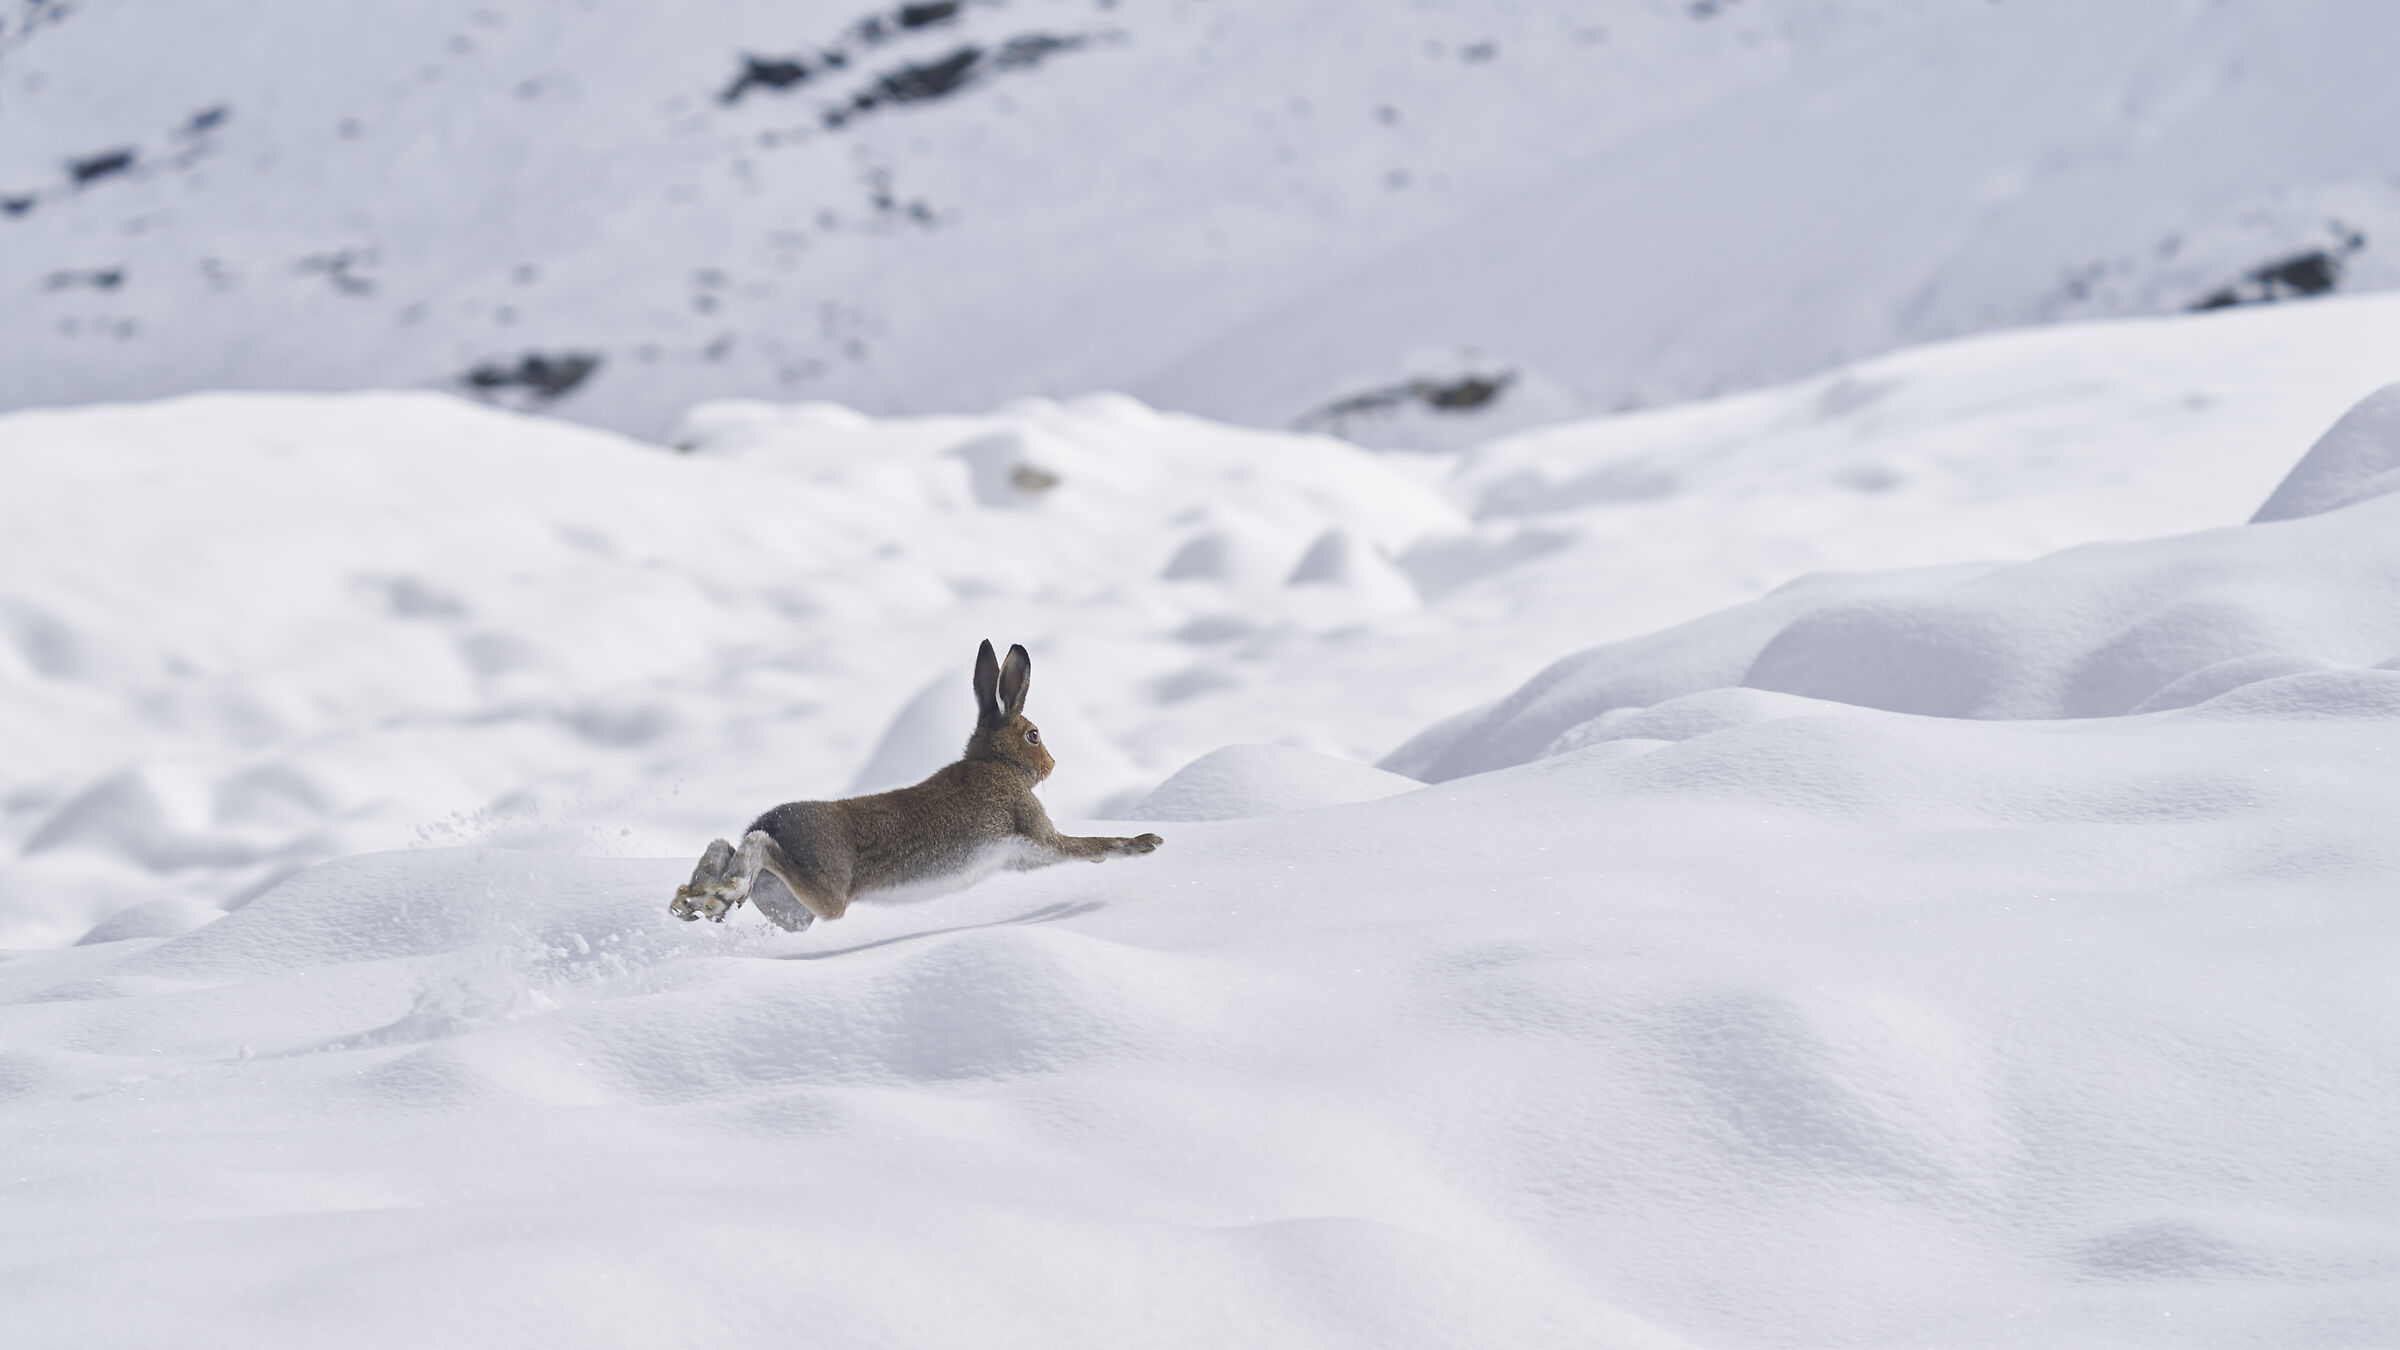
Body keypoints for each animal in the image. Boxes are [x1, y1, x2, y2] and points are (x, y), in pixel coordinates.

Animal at [671, 640, 1163, 929]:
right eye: (1033, 735)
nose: (1053, 763)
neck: (996, 763)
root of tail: (773, 820)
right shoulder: (1033, 831)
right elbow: (1087, 846)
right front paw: (1145, 843)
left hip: (793, 911)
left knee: (727, 846)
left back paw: (695, 899)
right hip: (828, 893)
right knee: (760, 847)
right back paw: (720, 892)